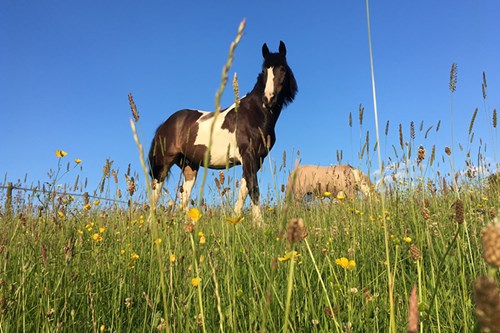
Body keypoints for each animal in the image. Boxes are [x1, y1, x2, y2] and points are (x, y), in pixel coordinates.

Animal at [147, 42, 296, 223]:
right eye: (264, 70)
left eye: (282, 68)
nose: (269, 99)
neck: (255, 114)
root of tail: (164, 125)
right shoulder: (248, 156)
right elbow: (253, 189)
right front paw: (260, 224)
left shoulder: (256, 160)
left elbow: (244, 191)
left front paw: (236, 220)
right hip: (163, 165)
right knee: (155, 193)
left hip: (190, 166)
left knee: (184, 196)